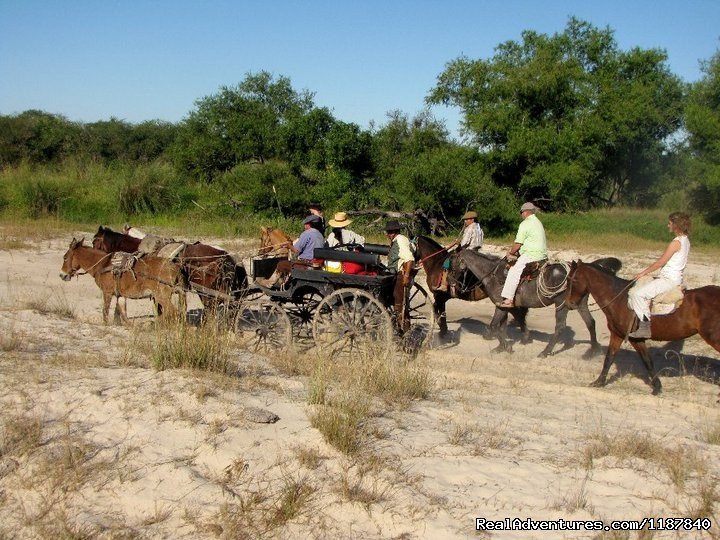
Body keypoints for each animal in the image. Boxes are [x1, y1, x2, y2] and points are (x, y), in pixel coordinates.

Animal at [458, 250, 620, 358]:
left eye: (453, 259)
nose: (456, 285)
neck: (493, 276)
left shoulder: (502, 305)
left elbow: (495, 325)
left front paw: (507, 345)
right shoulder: (504, 306)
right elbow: (504, 325)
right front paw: (503, 346)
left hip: (561, 303)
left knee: (560, 327)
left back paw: (545, 351)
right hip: (580, 303)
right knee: (590, 322)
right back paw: (594, 350)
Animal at [564, 260, 720, 394]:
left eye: (571, 280)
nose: (568, 303)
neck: (619, 299)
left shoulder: (635, 339)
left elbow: (647, 361)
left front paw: (656, 388)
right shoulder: (617, 335)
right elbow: (609, 358)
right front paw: (599, 382)